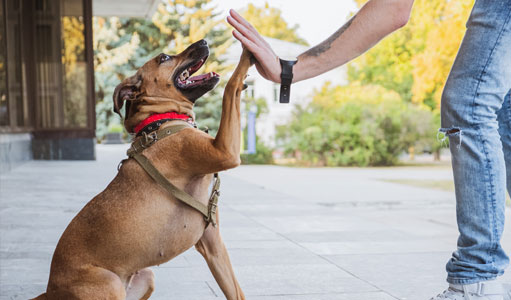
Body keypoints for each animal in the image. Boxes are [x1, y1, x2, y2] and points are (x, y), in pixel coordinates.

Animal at [33, 40, 253, 300]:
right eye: (164, 57)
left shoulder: (212, 244)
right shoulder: (225, 151)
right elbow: (231, 87)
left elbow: (236, 292)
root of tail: (50, 291)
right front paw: (248, 53)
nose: (204, 42)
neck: (161, 121)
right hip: (110, 284)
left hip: (146, 276)